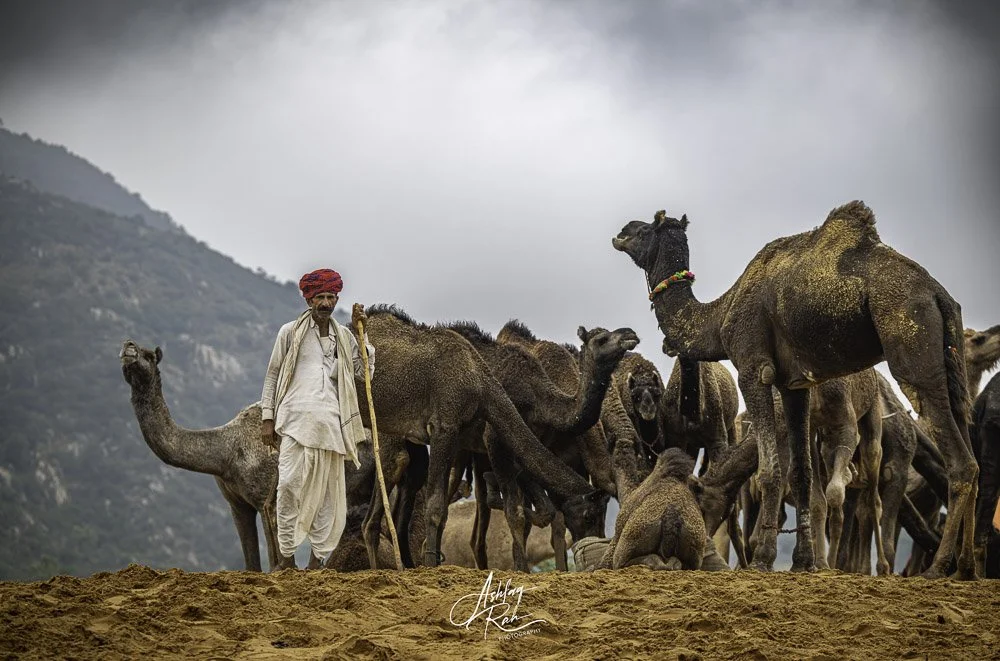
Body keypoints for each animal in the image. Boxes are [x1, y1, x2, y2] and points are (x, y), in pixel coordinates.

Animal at [119, 340, 280, 572]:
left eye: (149, 356)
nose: (129, 346)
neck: (226, 453)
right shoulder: (237, 504)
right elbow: (252, 564)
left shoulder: (265, 496)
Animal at [357, 305, 607, 569]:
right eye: (589, 516)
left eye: (603, 513)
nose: (595, 544)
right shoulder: (496, 439)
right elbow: (519, 512)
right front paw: (523, 569)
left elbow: (543, 511)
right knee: (396, 472)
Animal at [613, 202, 979, 577]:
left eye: (644, 230)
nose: (621, 232)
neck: (722, 313)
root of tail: (938, 295)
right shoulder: (795, 385)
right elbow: (802, 475)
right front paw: (803, 562)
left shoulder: (753, 368)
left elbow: (770, 471)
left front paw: (763, 560)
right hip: (951, 364)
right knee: (968, 443)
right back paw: (967, 568)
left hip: (911, 342)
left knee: (961, 463)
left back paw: (938, 568)